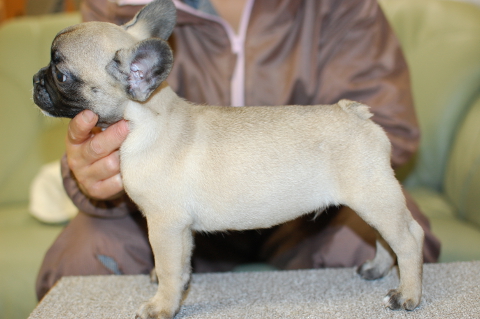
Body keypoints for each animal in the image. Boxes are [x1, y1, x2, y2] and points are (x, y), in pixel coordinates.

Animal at [32, 1, 424, 318]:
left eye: (61, 75)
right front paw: (175, 290)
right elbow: (181, 266)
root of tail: (355, 113)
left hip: (374, 197)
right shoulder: (180, 230)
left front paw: (162, 305)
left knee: (408, 238)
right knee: (385, 239)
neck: (147, 116)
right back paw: (376, 269)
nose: (36, 79)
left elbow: (169, 268)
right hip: (367, 202)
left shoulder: (164, 224)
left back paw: (407, 295)